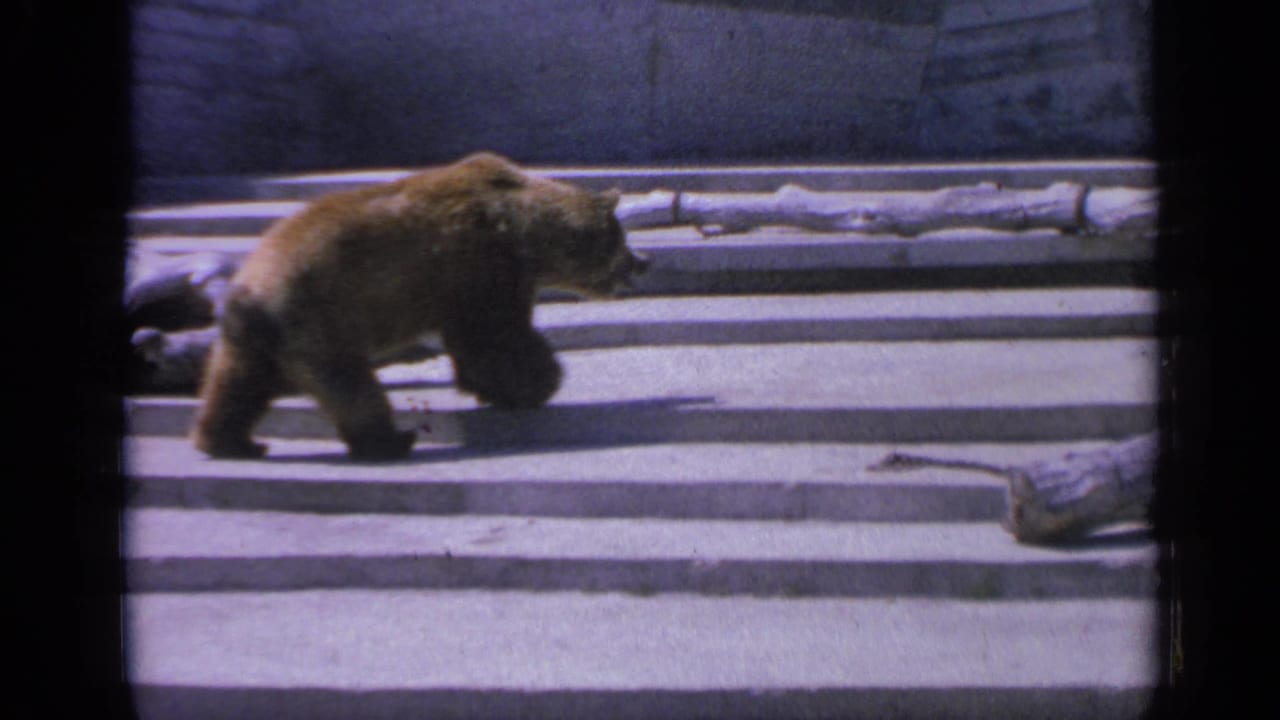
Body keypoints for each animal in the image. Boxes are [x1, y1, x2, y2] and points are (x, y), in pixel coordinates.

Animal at [191, 152, 648, 460]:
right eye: (622, 241)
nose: (642, 262)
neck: (524, 232)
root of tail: (250, 291)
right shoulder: (482, 266)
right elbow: (495, 337)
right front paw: (539, 383)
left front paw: (500, 389)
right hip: (318, 321)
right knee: (349, 385)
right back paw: (390, 440)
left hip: (255, 338)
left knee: (237, 384)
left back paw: (229, 441)